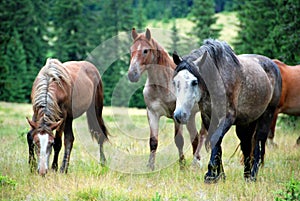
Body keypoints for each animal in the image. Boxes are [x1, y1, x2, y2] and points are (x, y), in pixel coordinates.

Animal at [126, 27, 206, 170]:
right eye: (131, 50)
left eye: (145, 50)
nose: (132, 74)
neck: (163, 86)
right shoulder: (152, 113)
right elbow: (153, 141)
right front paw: (150, 166)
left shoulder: (176, 115)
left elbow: (179, 140)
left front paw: (182, 165)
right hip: (190, 116)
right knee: (195, 137)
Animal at [172, 38, 282, 182]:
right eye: (175, 82)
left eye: (194, 82)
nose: (179, 115)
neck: (218, 79)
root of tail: (273, 66)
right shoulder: (208, 118)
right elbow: (216, 143)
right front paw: (219, 176)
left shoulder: (228, 117)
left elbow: (215, 139)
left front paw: (210, 174)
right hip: (246, 122)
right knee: (246, 143)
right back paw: (246, 175)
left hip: (267, 114)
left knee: (258, 140)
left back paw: (252, 176)